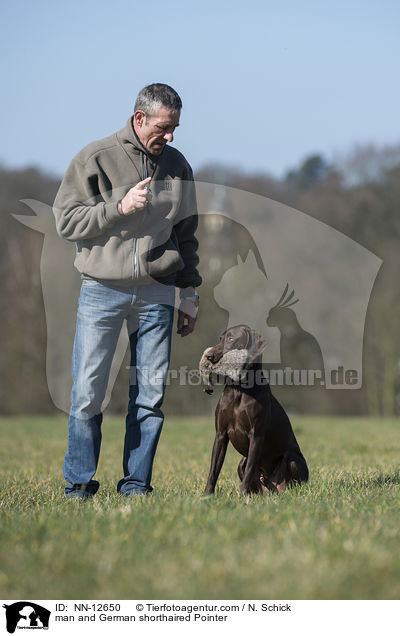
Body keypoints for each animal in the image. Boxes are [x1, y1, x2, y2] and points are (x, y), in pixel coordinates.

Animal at [203, 326, 310, 494]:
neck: (239, 390)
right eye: (220, 338)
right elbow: (214, 469)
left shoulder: (256, 435)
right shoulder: (221, 434)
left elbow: (250, 468)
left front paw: (242, 495)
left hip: (293, 458)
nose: (209, 356)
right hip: (241, 461)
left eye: (231, 339)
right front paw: (207, 495)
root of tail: (272, 488)